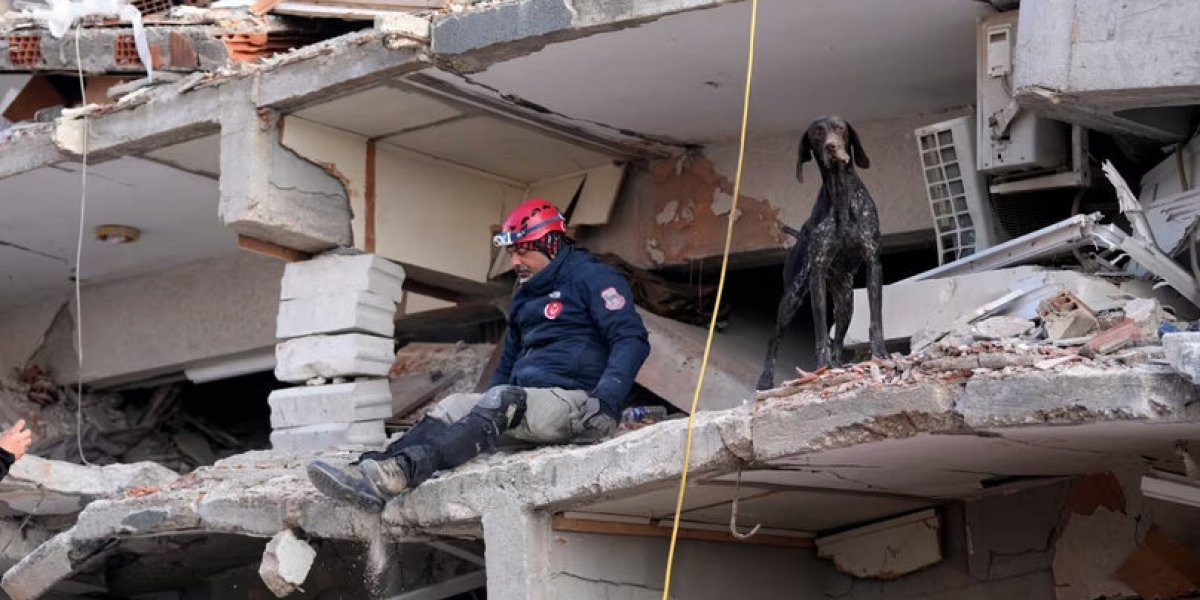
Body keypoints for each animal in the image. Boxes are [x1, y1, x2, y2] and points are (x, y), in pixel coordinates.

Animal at [756, 116, 887, 391]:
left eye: (840, 128)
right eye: (817, 133)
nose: (831, 147)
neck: (840, 194)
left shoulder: (873, 262)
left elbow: (875, 320)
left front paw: (880, 354)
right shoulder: (816, 272)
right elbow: (820, 334)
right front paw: (821, 368)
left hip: (847, 301)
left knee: (838, 341)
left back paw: (838, 365)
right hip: (791, 298)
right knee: (774, 339)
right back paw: (766, 379)